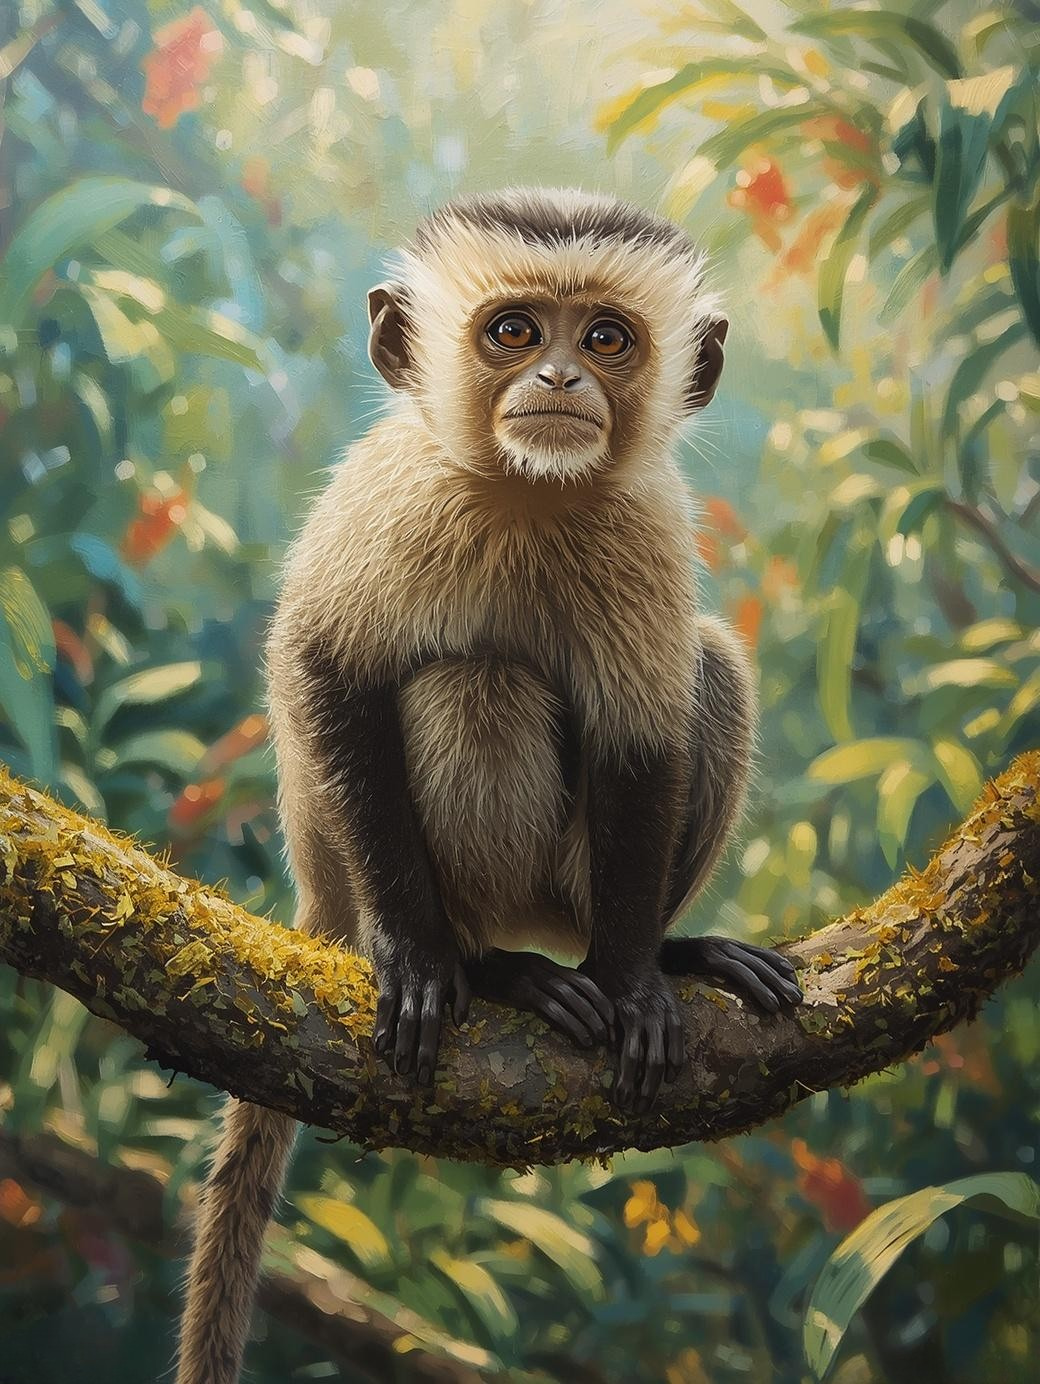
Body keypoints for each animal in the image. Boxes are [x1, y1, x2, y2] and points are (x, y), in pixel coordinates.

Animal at [174, 187, 802, 1384]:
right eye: (514, 330)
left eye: (604, 339)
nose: (556, 377)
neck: (529, 496)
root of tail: (319, 892)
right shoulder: (394, 489)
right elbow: (327, 668)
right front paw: (423, 962)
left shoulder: (649, 522)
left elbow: (645, 738)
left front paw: (638, 982)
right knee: (475, 683)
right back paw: (492, 966)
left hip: (570, 884)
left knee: (708, 663)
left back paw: (657, 953)